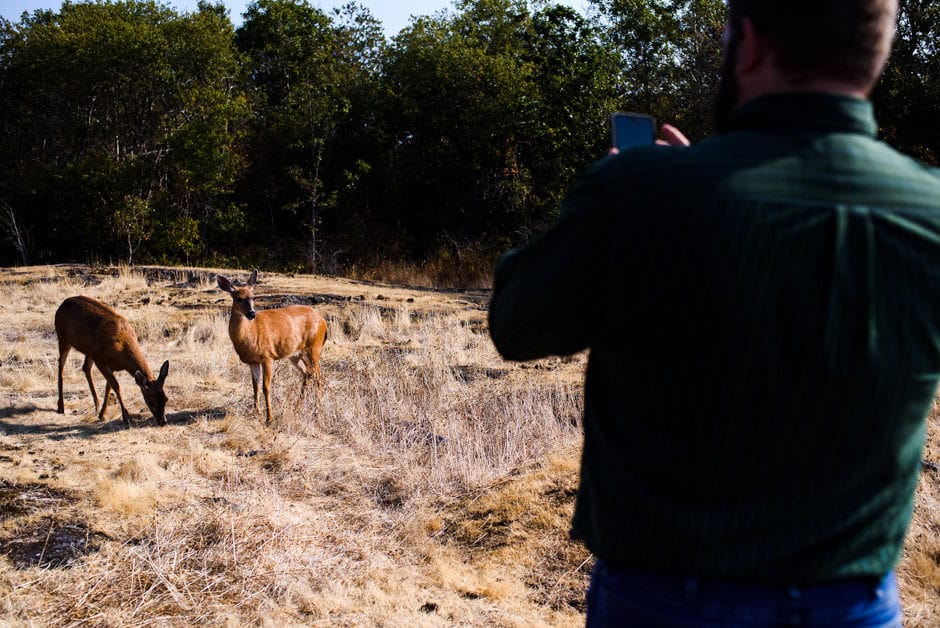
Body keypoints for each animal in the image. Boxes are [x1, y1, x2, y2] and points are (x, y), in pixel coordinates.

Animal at [54, 296, 171, 424]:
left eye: (166, 399)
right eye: (151, 402)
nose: (163, 421)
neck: (122, 347)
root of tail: (63, 304)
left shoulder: (112, 364)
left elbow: (108, 387)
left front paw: (103, 414)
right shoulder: (100, 360)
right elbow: (116, 386)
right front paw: (126, 417)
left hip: (89, 351)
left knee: (85, 368)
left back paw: (97, 405)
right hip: (63, 337)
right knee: (61, 365)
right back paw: (61, 406)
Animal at [216, 268, 326, 422]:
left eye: (253, 297)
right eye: (239, 298)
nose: (252, 313)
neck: (249, 335)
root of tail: (323, 321)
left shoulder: (267, 357)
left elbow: (266, 387)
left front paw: (269, 418)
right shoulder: (252, 362)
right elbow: (255, 386)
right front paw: (256, 412)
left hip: (315, 348)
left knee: (318, 377)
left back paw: (317, 409)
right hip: (296, 355)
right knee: (308, 373)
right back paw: (297, 408)